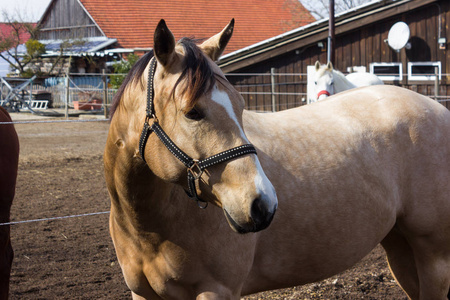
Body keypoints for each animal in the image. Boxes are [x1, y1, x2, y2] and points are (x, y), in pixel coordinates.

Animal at [104, 19, 450, 298]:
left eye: (241, 104)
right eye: (192, 112)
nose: (262, 204)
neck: (149, 227)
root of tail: (438, 109)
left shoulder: (217, 290)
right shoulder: (143, 294)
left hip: (433, 255)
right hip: (400, 246)